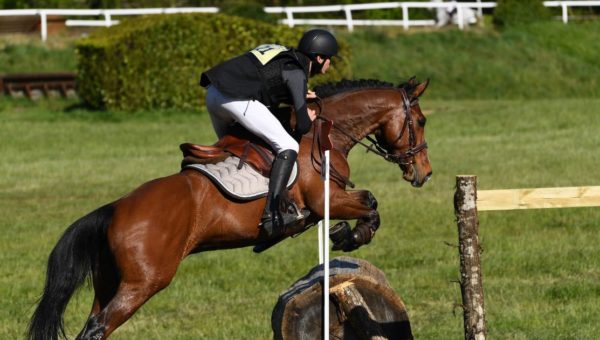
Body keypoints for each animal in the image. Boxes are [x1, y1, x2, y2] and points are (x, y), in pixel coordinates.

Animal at [29, 77, 432, 340]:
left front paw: (346, 235)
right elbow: (370, 203)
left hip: (109, 282)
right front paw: (350, 236)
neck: (324, 133)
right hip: (144, 282)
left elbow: (368, 204)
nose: (423, 173)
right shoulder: (325, 200)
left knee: (93, 324)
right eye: (422, 121)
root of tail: (113, 210)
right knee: (98, 328)